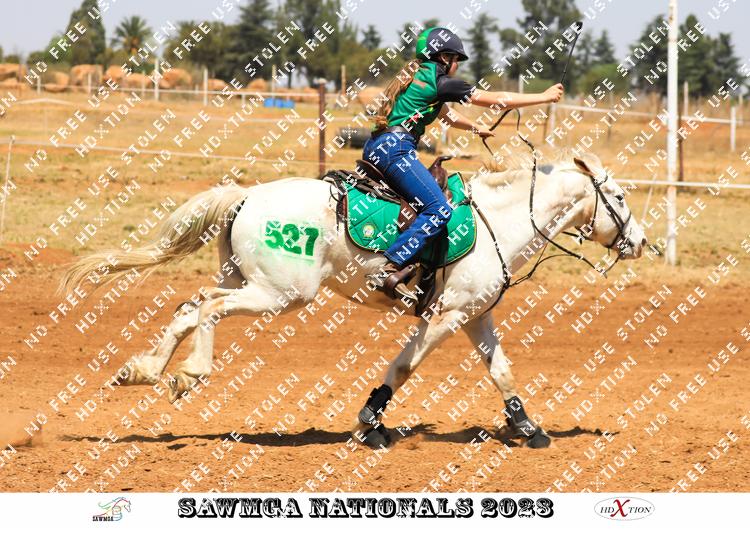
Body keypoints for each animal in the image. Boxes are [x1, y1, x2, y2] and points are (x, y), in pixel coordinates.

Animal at [60, 150, 647, 450]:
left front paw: (528, 428)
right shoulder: (445, 316)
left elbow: (501, 370)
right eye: (618, 196)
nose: (640, 242)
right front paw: (370, 424)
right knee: (207, 309)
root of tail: (247, 196)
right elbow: (404, 367)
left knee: (191, 304)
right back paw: (189, 372)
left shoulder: (474, 315)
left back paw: (144, 369)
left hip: (245, 280)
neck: (493, 224)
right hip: (280, 294)